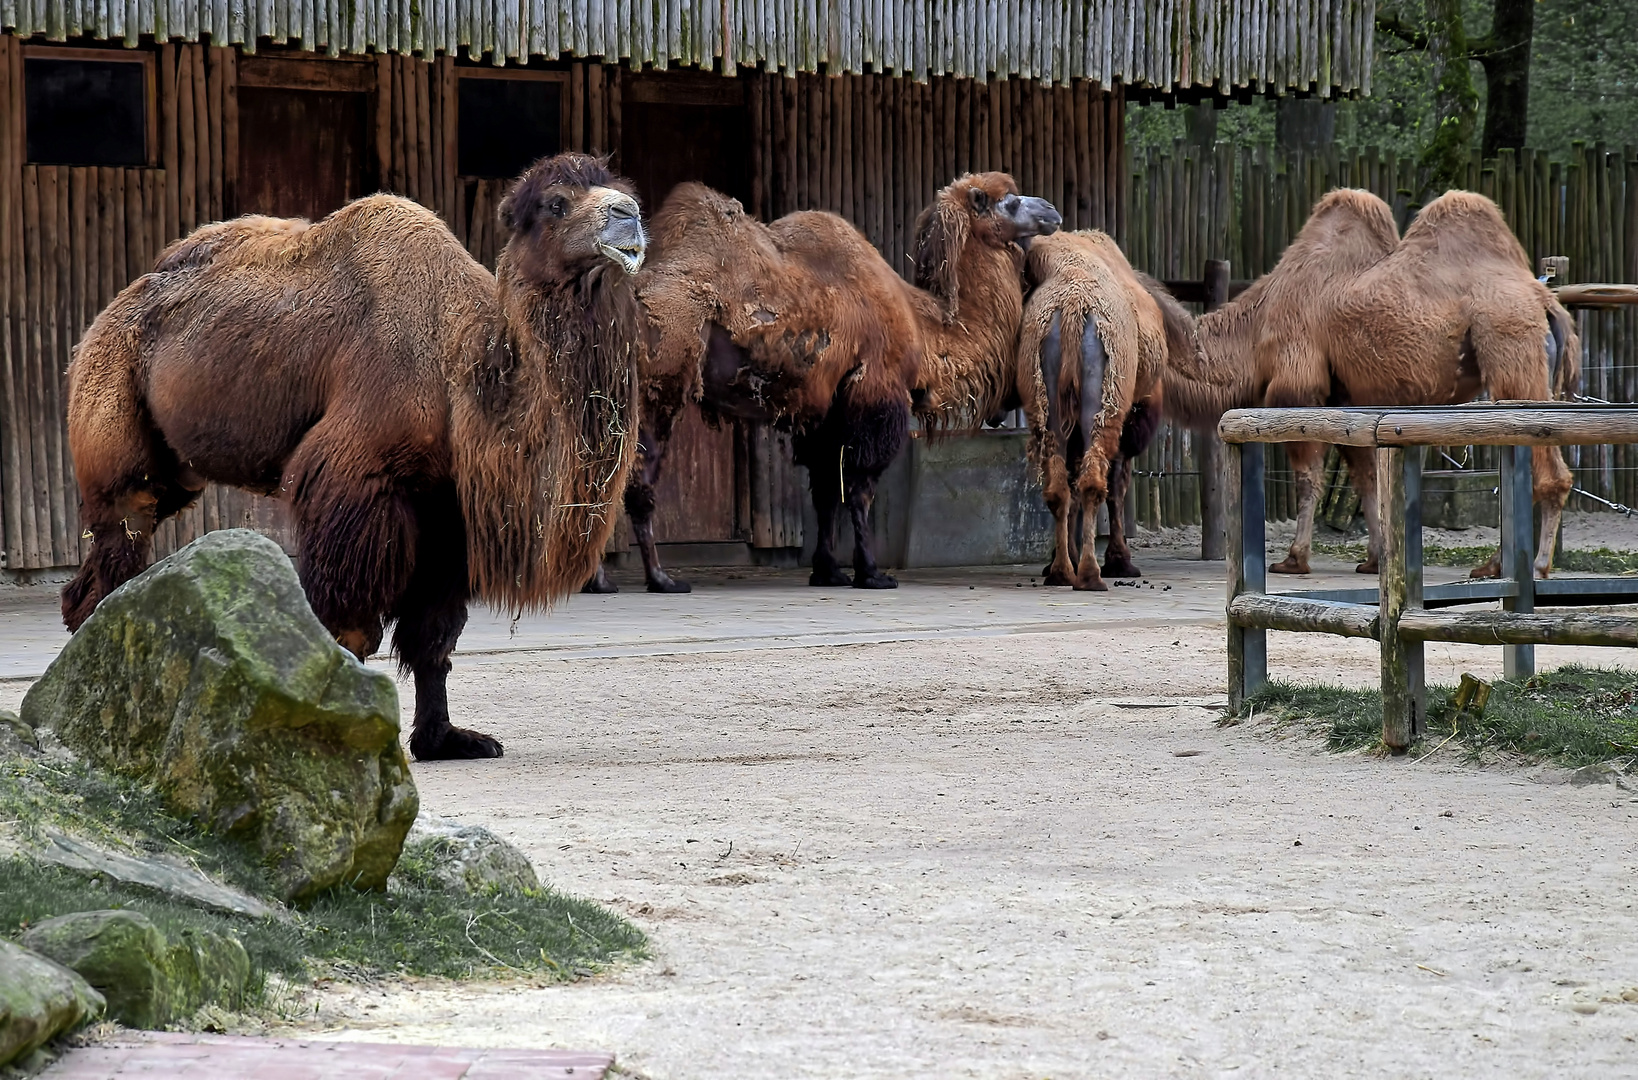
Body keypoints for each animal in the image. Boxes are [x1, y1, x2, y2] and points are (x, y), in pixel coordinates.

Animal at [57, 152, 645, 760]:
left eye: (620, 188)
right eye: (555, 204)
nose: (628, 215)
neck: (461, 366)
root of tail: (107, 316)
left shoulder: (448, 512)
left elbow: (433, 637)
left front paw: (446, 739)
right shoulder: (357, 482)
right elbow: (348, 624)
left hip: (176, 470)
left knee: (95, 579)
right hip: (113, 411)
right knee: (123, 535)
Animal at [1166, 192, 1572, 583]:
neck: (1255, 329)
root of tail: (1547, 304)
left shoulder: (1299, 389)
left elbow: (1308, 479)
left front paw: (1294, 559)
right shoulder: (1346, 402)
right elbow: (1366, 480)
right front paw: (1375, 559)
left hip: (1510, 349)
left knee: (1547, 473)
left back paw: (1526, 566)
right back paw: (1500, 565)